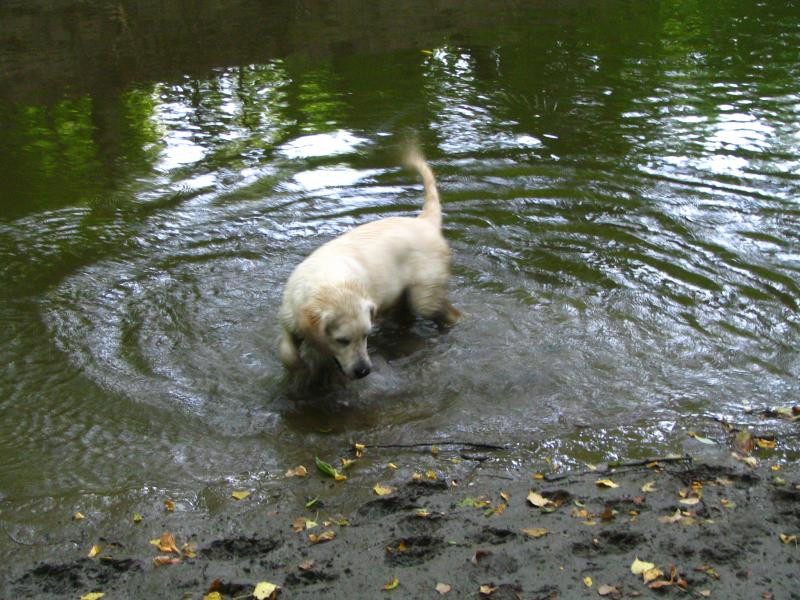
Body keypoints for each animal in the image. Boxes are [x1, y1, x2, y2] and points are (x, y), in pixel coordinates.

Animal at [278, 146, 460, 380]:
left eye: (366, 336)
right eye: (342, 340)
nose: (364, 371)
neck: (330, 285)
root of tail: (425, 221)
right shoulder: (289, 318)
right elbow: (288, 353)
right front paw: (299, 369)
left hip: (424, 295)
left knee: (450, 313)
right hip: (402, 298)